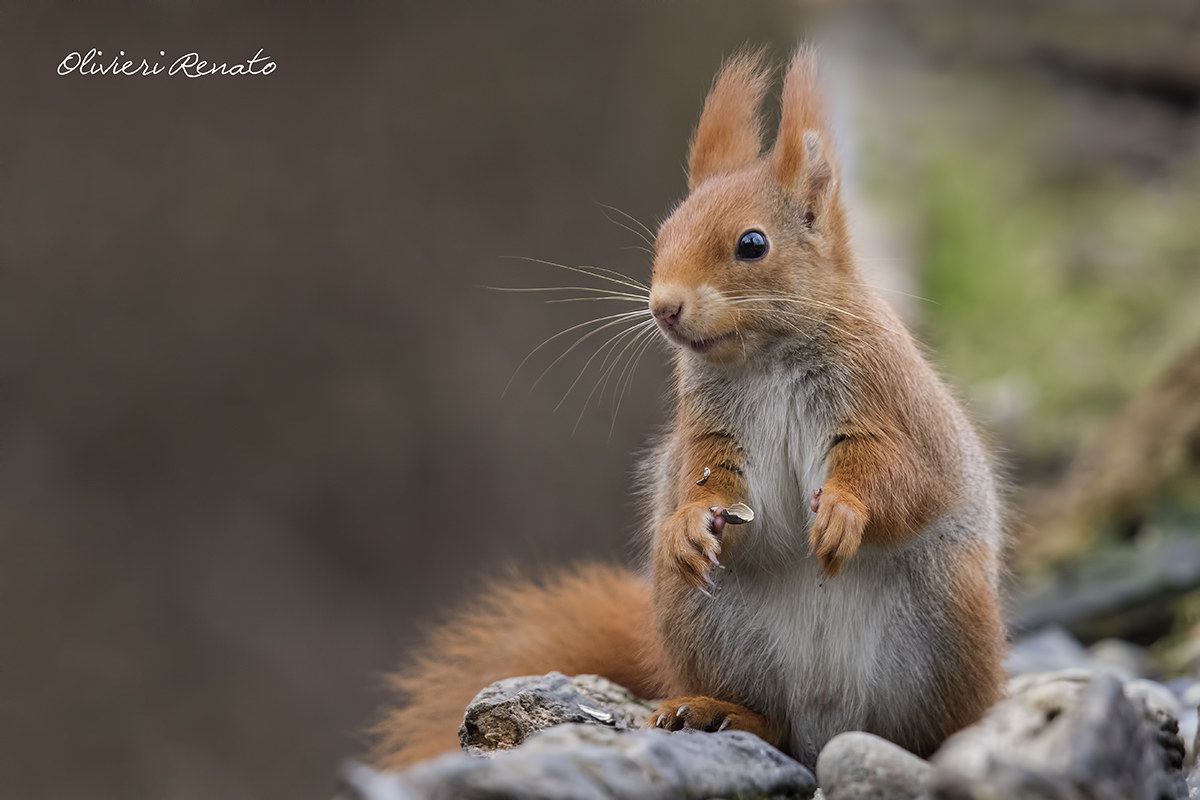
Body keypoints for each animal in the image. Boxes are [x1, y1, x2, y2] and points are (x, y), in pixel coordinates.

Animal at [371, 47, 1007, 771]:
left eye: (753, 244)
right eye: (664, 233)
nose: (663, 306)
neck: (764, 358)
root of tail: (832, 722)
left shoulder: (892, 405)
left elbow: (907, 477)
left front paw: (846, 512)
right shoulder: (708, 433)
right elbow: (705, 483)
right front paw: (684, 523)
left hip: (950, 618)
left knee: (923, 731)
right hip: (697, 619)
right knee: (774, 724)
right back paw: (716, 712)